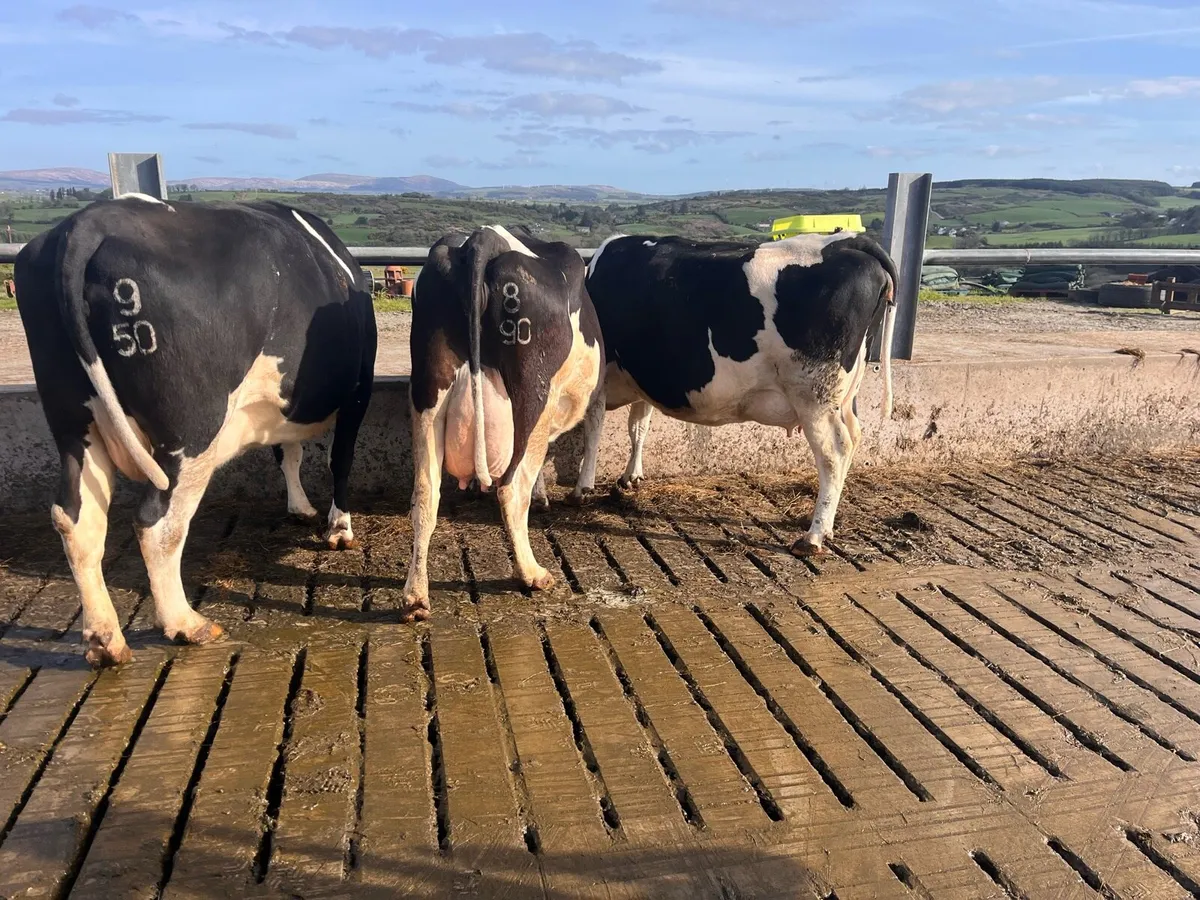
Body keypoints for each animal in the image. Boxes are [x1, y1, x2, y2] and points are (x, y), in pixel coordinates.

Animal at [14, 194, 377, 667]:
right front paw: (339, 529)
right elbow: (340, 460)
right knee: (158, 524)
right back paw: (187, 624)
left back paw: (106, 642)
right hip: (191, 432)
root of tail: (87, 221)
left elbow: (288, 452)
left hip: (75, 422)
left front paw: (300, 507)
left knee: (77, 518)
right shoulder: (358, 391)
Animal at [402, 225, 603, 621]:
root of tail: (483, 238)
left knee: (425, 494)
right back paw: (532, 573)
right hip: (535, 395)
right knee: (511, 486)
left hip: (428, 395)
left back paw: (416, 598)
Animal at [572, 231, 898, 557]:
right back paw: (827, 527)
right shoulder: (642, 377)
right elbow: (638, 426)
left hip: (813, 394)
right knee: (854, 437)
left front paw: (583, 487)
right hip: (844, 395)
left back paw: (813, 536)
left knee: (834, 452)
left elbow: (593, 428)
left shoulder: (599, 377)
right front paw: (631, 476)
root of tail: (848, 240)